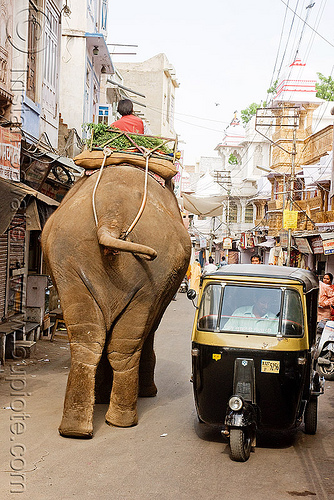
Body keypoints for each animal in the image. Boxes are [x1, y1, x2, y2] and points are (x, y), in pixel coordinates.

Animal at [41, 164, 190, 438]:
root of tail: (112, 217)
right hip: (148, 275)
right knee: (123, 344)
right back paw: (121, 420)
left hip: (68, 261)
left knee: (90, 339)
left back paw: (77, 428)